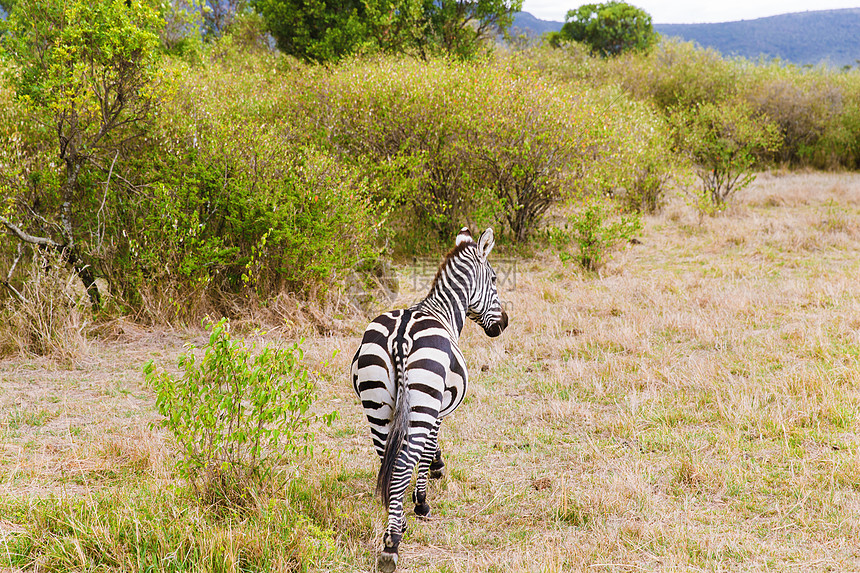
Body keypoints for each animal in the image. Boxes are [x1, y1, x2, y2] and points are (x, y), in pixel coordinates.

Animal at [352, 226, 508, 568]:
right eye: (492, 279)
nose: (503, 324)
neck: (442, 312)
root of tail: (399, 336)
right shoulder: (437, 409)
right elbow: (425, 452)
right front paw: (423, 498)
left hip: (376, 404)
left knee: (387, 459)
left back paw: (394, 519)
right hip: (420, 401)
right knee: (403, 461)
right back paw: (392, 543)